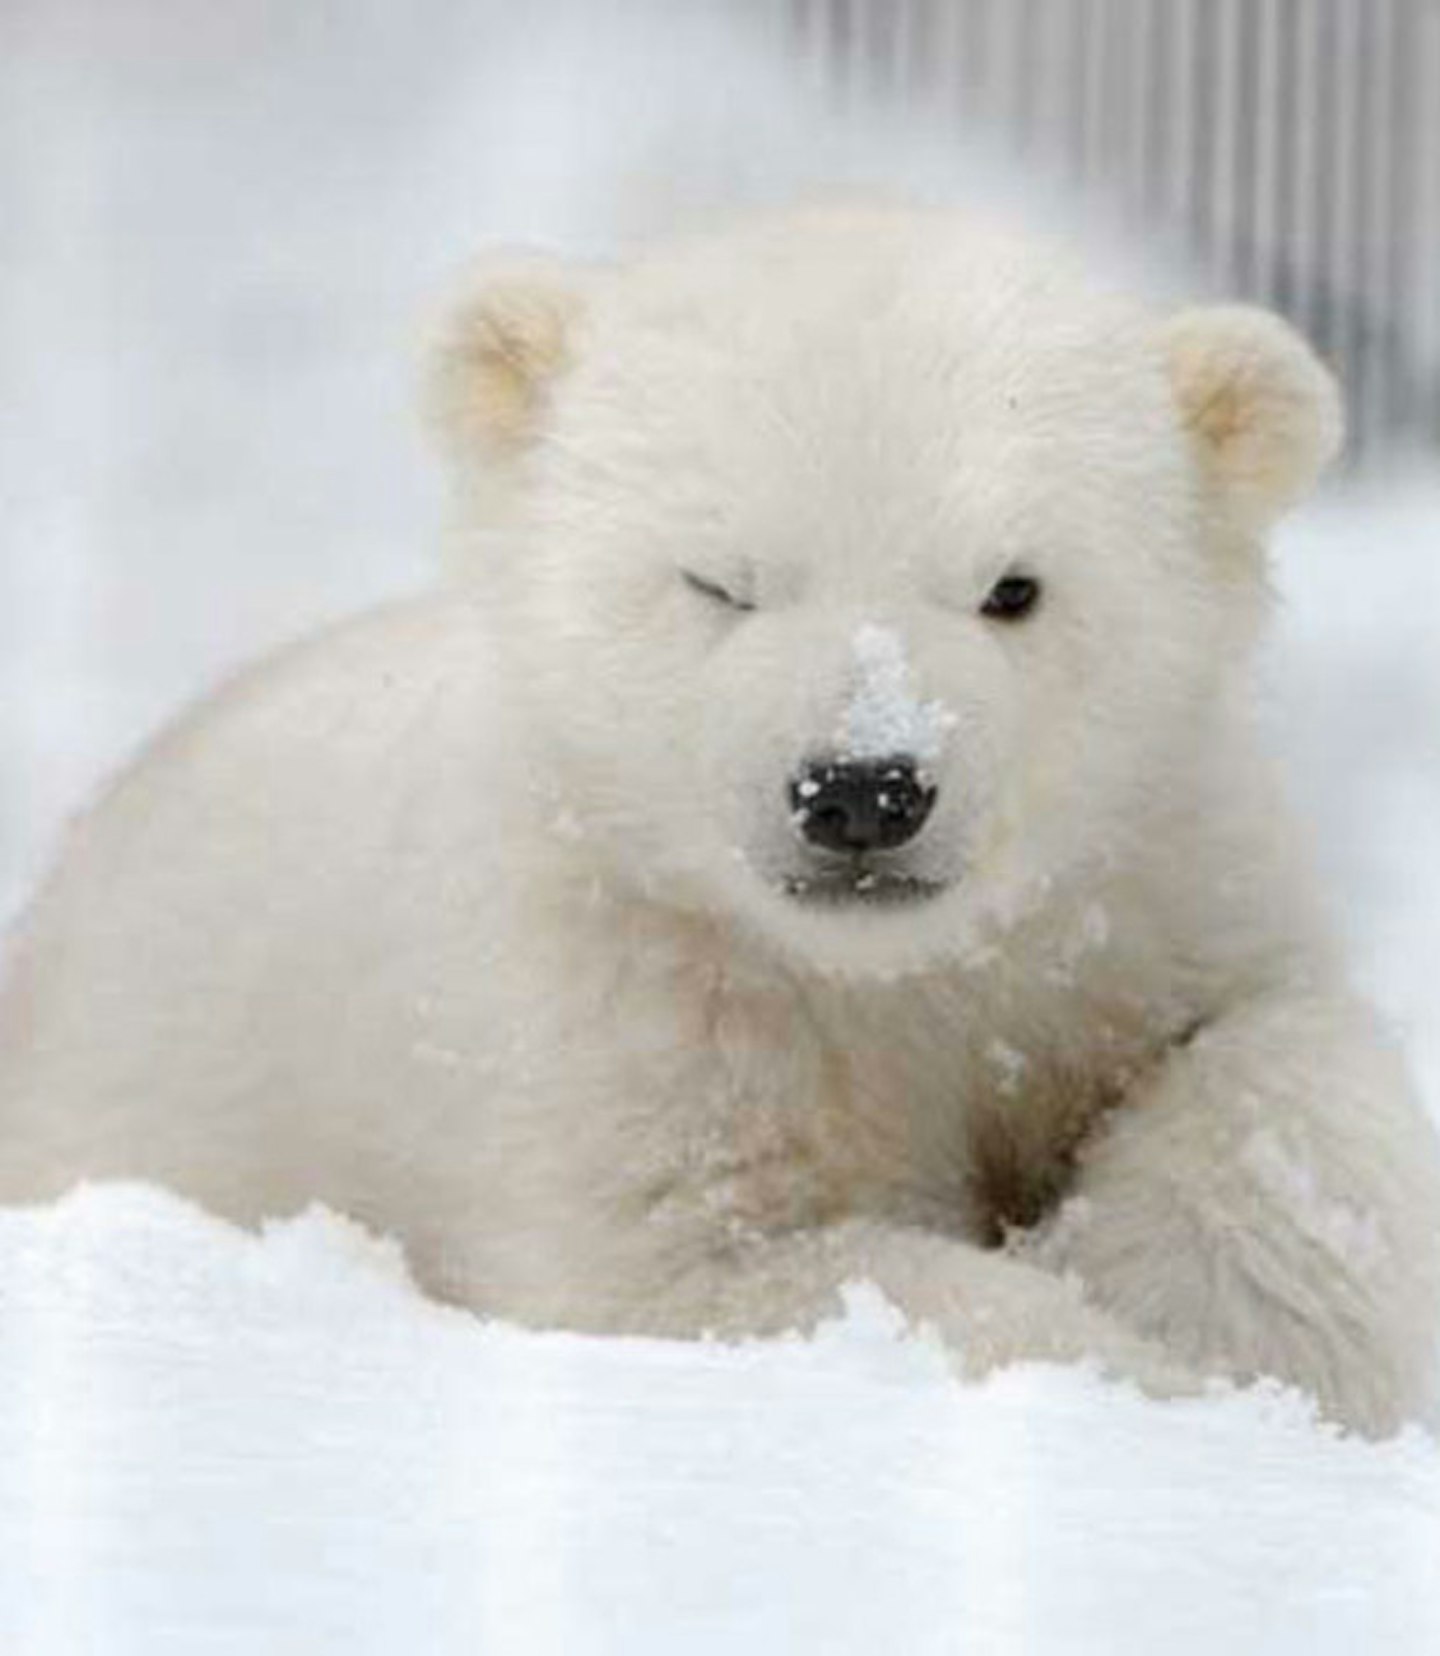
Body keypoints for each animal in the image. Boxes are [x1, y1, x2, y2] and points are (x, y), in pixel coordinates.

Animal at [2, 203, 1440, 1437]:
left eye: (1014, 587)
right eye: (720, 582)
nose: (862, 790)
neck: (881, 980)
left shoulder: (1149, 883)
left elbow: (1267, 1059)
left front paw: (1231, 1332)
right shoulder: (618, 995)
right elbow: (709, 1272)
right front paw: (1145, 1384)